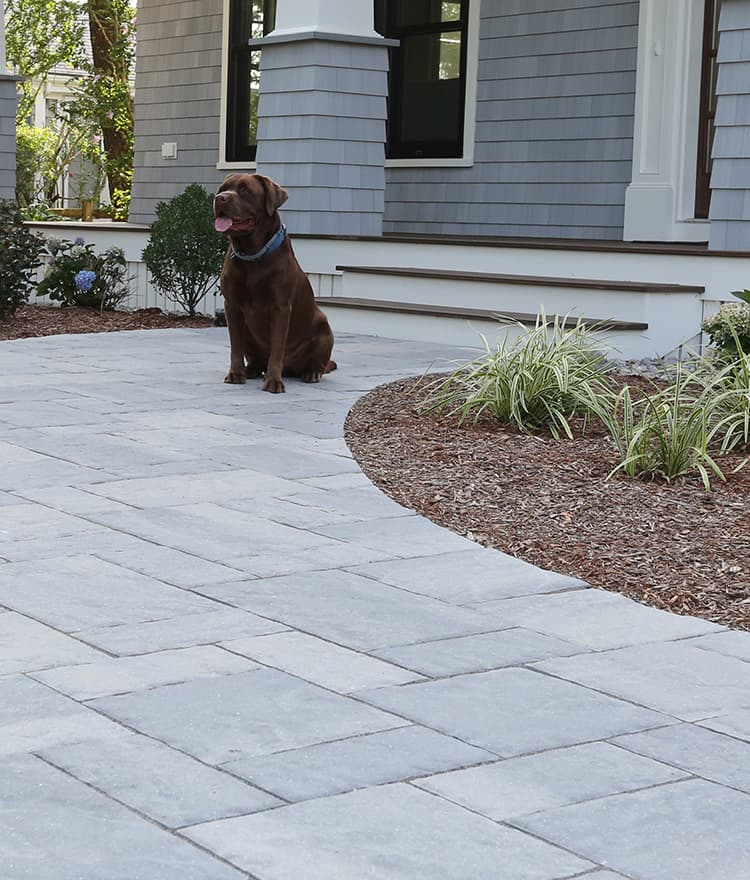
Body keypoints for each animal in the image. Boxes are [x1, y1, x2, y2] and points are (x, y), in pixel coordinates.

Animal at [214, 174, 338, 394]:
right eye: (222, 188)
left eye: (245, 190)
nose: (219, 198)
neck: (252, 254)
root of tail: (291, 368)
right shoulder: (232, 305)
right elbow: (235, 345)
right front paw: (235, 374)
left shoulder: (280, 307)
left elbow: (277, 346)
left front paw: (273, 381)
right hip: (249, 332)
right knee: (254, 358)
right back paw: (249, 370)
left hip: (324, 330)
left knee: (318, 363)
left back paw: (311, 373)